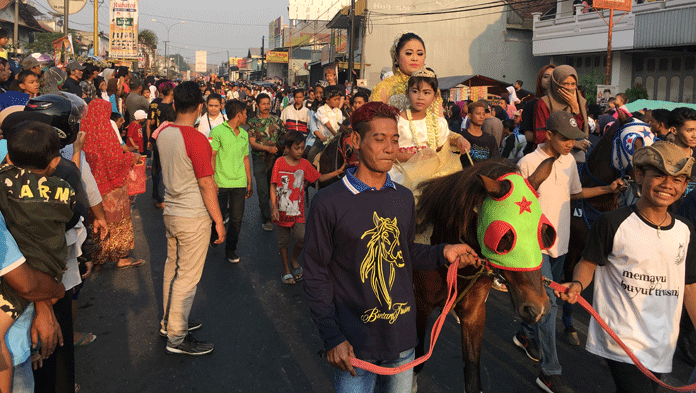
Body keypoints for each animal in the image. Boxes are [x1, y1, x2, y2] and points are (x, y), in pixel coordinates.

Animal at [414, 158, 556, 392]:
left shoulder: (474, 314)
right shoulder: (420, 307)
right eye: (504, 237)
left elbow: (472, 377)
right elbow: (414, 362)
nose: (537, 308)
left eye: (544, 232)